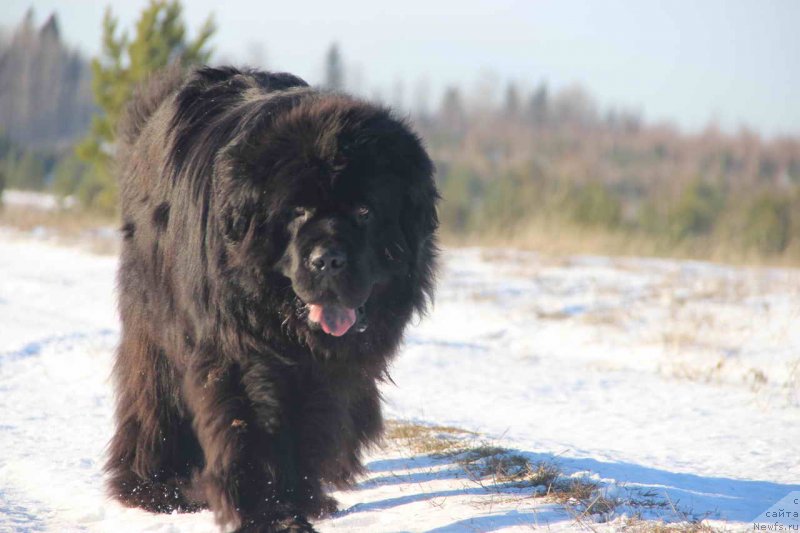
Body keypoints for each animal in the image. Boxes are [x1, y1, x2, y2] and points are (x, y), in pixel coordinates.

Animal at [106, 64, 438, 528]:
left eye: (364, 212)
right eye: (297, 211)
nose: (327, 259)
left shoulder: (333, 371)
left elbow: (313, 425)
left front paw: (300, 498)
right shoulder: (239, 349)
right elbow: (255, 424)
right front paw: (272, 513)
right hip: (155, 321)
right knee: (154, 392)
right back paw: (154, 485)